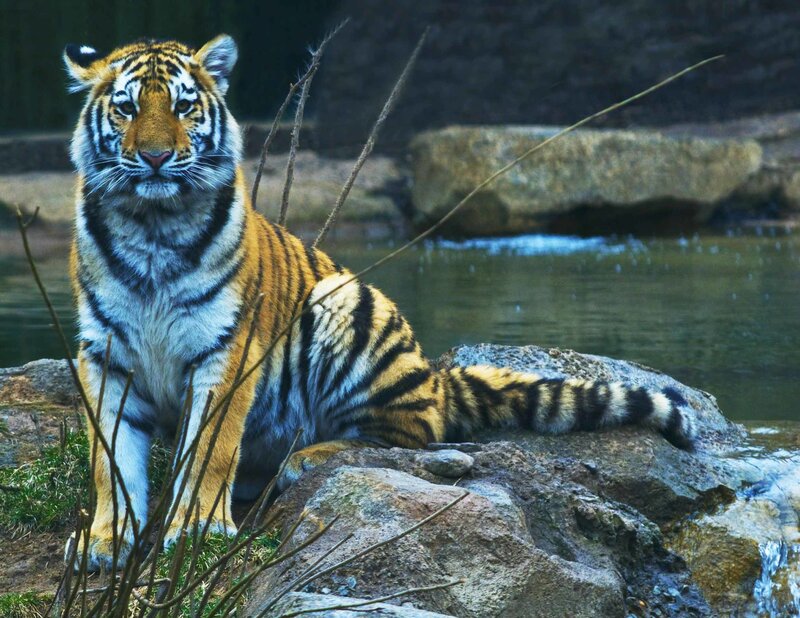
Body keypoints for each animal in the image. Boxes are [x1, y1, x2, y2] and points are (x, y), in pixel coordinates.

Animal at [63, 35, 697, 570]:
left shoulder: (226, 349)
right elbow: (109, 457)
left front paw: (196, 528)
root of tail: (435, 375)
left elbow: (210, 450)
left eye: (184, 106)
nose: (154, 157)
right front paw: (106, 540)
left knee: (414, 433)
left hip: (344, 305)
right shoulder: (104, 354)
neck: (152, 225)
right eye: (126, 109)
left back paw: (307, 458)